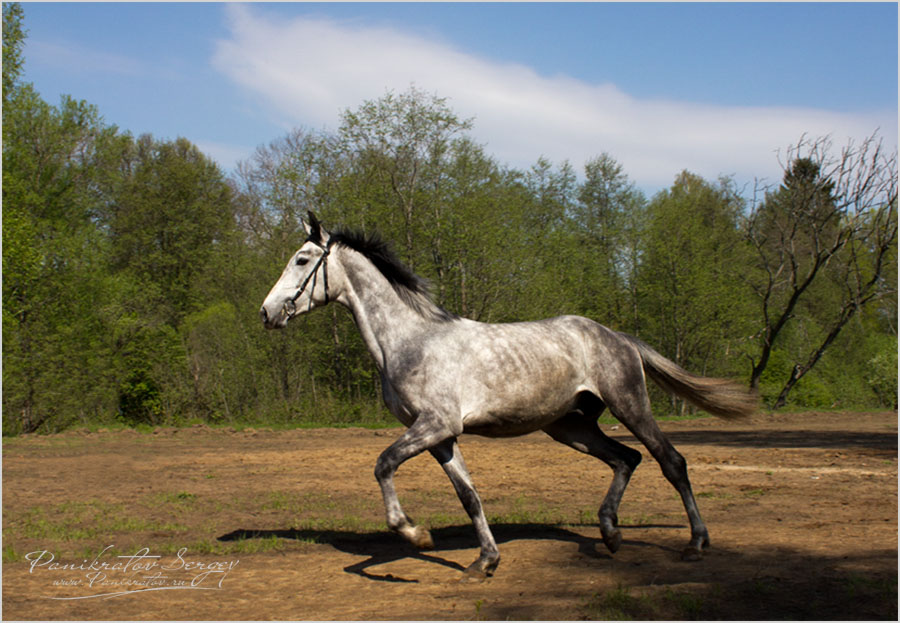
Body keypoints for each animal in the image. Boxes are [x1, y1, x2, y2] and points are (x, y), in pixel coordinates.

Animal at [260, 214, 760, 580]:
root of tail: (617, 336)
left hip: (630, 405)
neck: (409, 340)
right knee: (626, 459)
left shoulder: (435, 425)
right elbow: (469, 496)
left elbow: (383, 465)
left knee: (670, 461)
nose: (266, 313)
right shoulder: (440, 437)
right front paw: (485, 562)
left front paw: (417, 535)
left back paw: (695, 544)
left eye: (302, 260)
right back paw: (610, 534)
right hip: (570, 426)